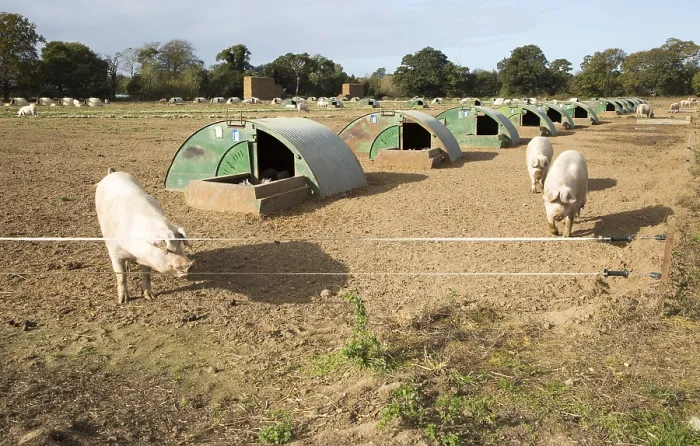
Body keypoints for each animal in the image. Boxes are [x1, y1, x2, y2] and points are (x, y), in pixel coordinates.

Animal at [95, 168, 193, 303]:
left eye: (179, 244)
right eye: (167, 249)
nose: (190, 265)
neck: (136, 253)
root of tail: (113, 173)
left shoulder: (147, 258)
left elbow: (147, 275)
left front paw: (150, 297)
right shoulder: (114, 252)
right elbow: (121, 276)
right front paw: (123, 301)